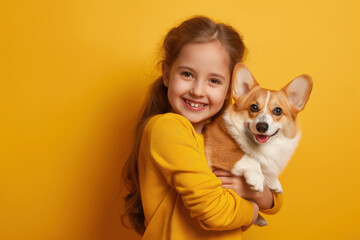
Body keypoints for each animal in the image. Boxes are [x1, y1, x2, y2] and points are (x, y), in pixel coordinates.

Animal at [205, 62, 312, 226]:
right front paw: (257, 178)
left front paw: (274, 182)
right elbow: (250, 159)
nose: (262, 126)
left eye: (278, 111)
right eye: (253, 107)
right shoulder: (220, 150)